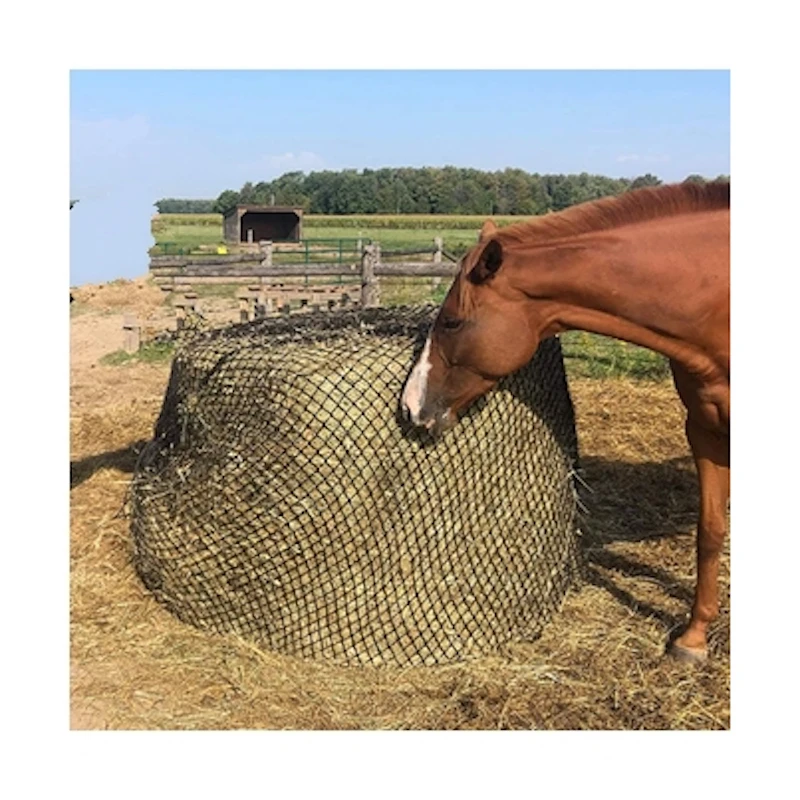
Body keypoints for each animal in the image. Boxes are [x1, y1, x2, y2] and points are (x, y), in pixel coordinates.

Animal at [401, 182, 730, 663]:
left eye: (452, 322)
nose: (410, 407)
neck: (719, 295)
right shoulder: (704, 429)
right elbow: (710, 532)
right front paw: (693, 638)